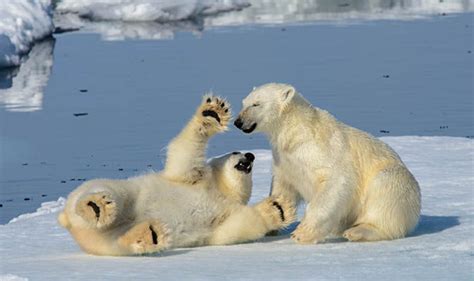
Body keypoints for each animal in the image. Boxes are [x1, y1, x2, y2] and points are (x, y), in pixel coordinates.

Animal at [58, 95, 296, 255]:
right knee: (107, 193)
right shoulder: (194, 178)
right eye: (235, 151)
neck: (219, 191)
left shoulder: (219, 219)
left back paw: (150, 234)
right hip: (123, 192)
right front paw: (212, 114)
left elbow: (233, 229)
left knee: (117, 242)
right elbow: (184, 156)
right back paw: (97, 206)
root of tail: (68, 223)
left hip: (103, 241)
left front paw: (280, 208)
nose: (250, 155)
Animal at [234, 82, 422, 243]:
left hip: (398, 184)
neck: (296, 131)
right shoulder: (285, 160)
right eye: (244, 103)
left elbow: (335, 182)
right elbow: (283, 188)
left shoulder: (323, 152)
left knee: (384, 192)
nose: (238, 122)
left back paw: (358, 231)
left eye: (256, 104)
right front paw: (274, 219)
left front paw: (302, 233)